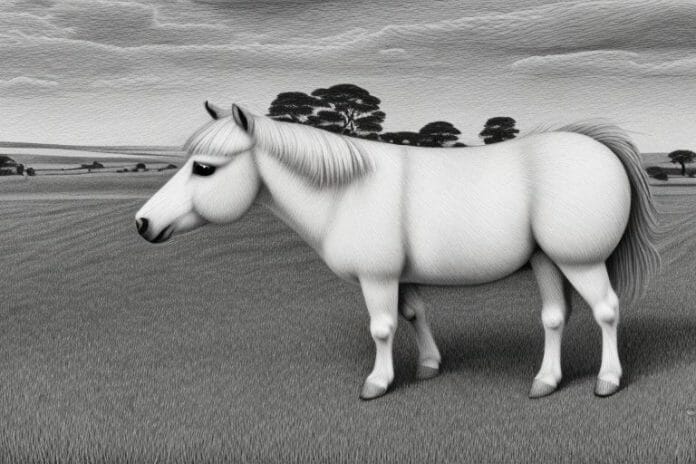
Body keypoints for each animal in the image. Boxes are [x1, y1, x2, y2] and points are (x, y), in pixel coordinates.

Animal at [135, 101, 660, 400]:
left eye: (204, 168)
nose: (142, 223)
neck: (346, 192)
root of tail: (600, 149)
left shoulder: (377, 278)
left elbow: (383, 328)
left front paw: (377, 383)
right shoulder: (399, 277)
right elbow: (414, 315)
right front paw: (428, 366)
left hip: (580, 261)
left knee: (606, 311)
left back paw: (608, 381)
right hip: (547, 260)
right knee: (554, 317)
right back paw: (546, 382)